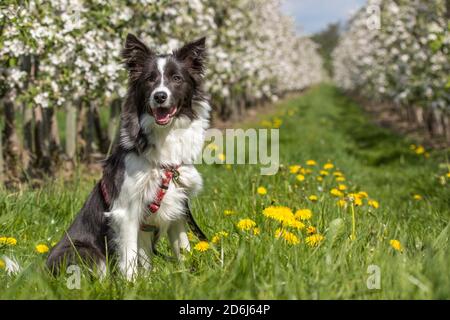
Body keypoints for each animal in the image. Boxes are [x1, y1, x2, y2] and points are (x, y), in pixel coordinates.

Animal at [48, 34, 210, 280]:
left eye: (176, 78)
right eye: (150, 79)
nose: (160, 96)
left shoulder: (178, 208)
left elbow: (183, 249)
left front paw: (188, 277)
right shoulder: (125, 212)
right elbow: (130, 258)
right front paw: (132, 284)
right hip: (85, 252)